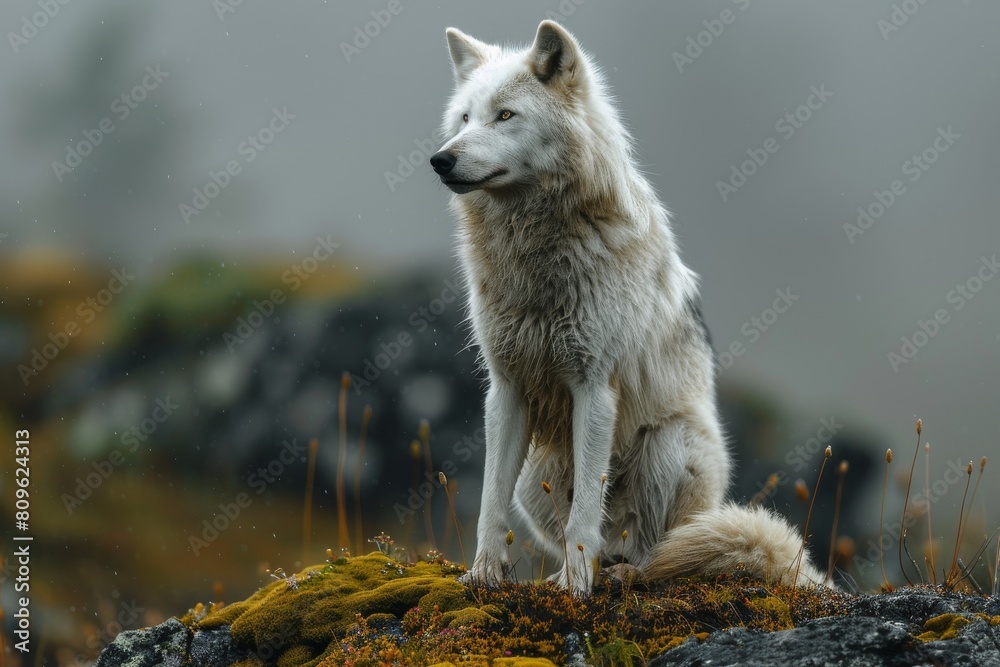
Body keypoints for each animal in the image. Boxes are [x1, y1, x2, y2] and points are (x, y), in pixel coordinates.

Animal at [430, 20, 827, 594]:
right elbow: (489, 502)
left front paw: (576, 589)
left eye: (505, 115)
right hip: (536, 472)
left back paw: (617, 574)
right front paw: (485, 575)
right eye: (464, 118)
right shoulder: (506, 390)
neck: (537, 254)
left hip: (667, 445)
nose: (441, 159)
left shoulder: (594, 388)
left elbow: (583, 517)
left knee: (652, 553)